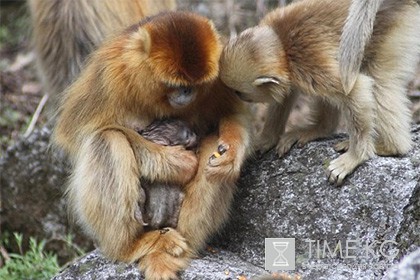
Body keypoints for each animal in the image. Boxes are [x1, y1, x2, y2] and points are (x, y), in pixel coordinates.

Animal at [220, 0, 420, 186]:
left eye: (239, 92)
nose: (240, 98)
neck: (284, 45)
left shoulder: (307, 61)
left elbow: (355, 89)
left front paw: (356, 157)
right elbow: (286, 93)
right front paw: (267, 139)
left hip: (397, 29)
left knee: (378, 81)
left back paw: (391, 147)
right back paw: (320, 129)